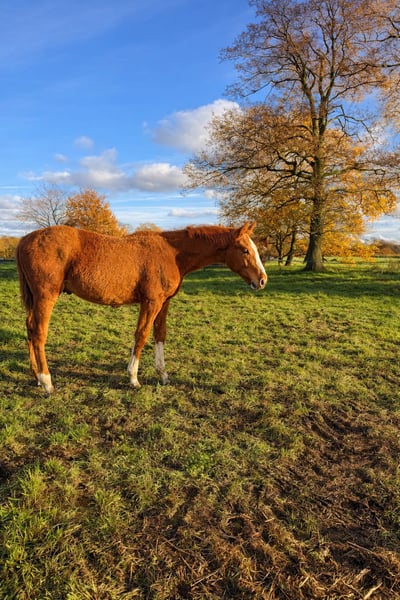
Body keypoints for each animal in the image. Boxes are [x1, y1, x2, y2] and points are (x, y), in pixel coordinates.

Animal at [15, 222, 267, 393]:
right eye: (245, 250)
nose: (262, 280)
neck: (172, 253)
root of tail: (25, 239)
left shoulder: (164, 303)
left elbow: (159, 335)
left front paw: (163, 375)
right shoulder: (151, 302)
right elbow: (142, 335)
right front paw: (133, 378)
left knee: (30, 329)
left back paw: (36, 376)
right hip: (45, 297)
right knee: (39, 333)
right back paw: (47, 381)